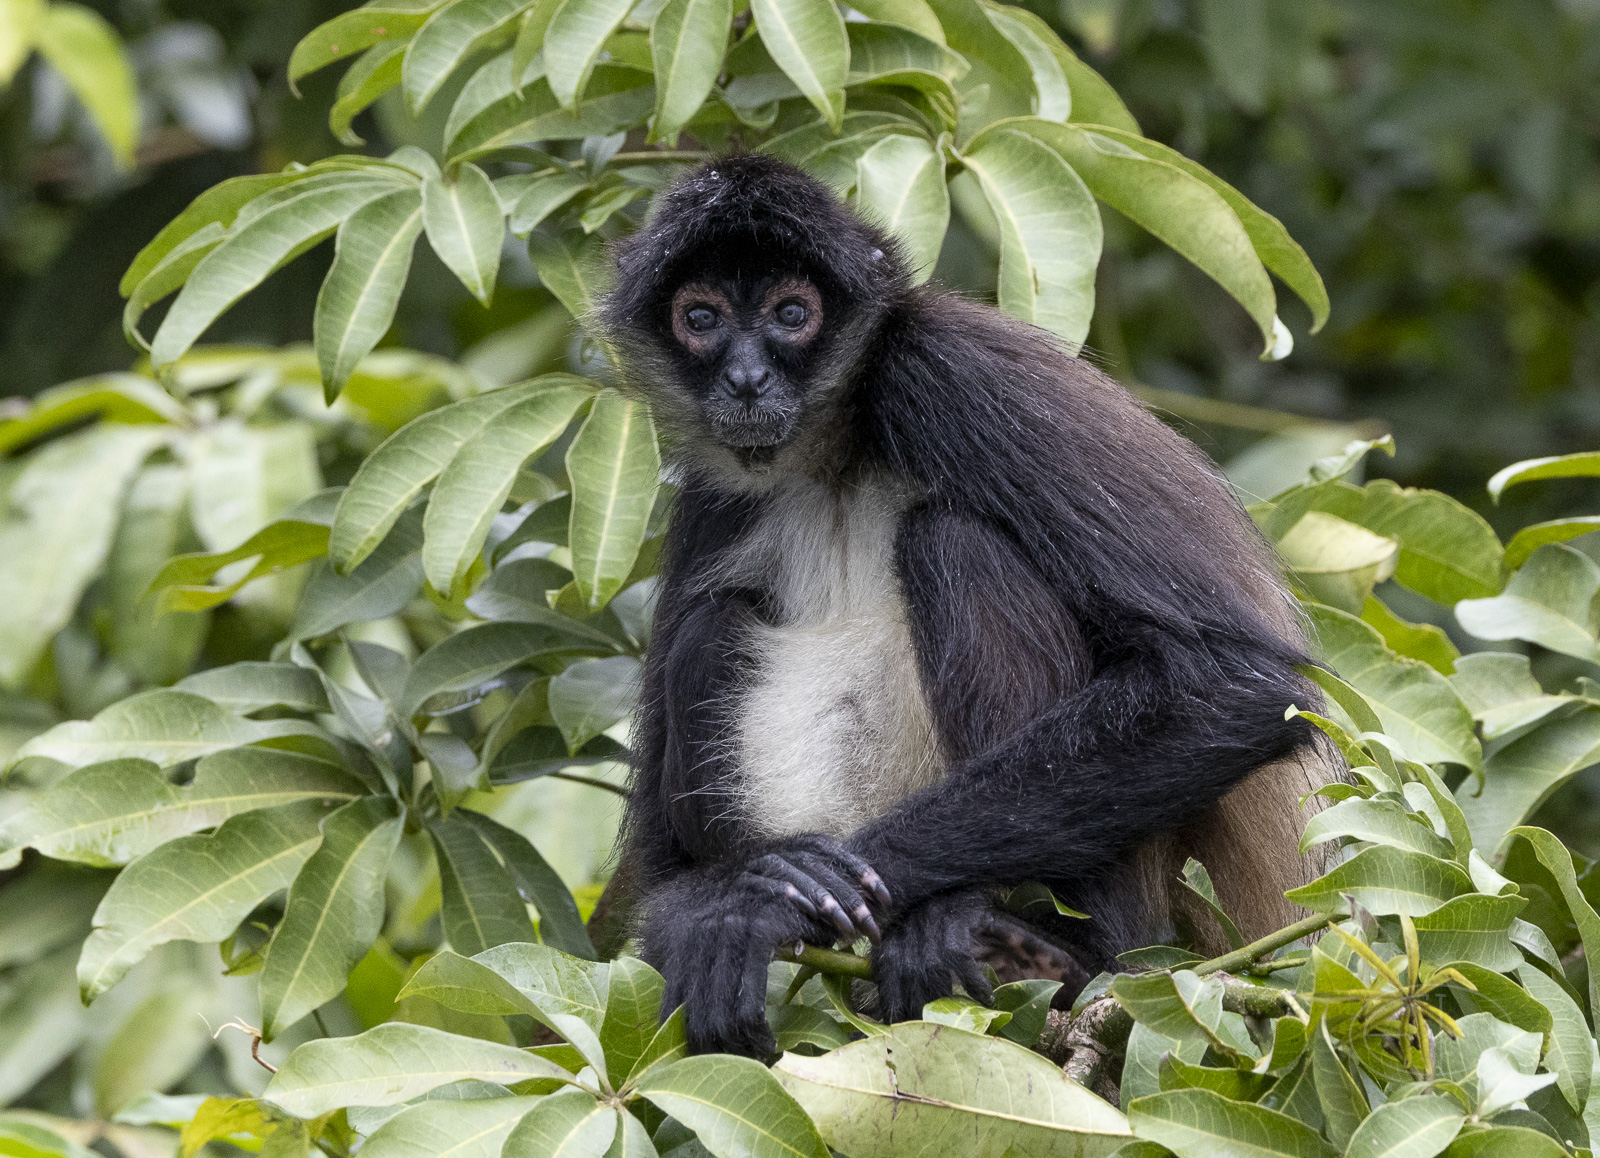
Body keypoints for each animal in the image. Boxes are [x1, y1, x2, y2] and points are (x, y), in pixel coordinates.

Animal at [596, 154, 1337, 1058]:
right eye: (699, 318)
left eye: (792, 314)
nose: (745, 379)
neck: (833, 456)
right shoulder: (712, 490)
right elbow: (663, 867)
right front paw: (731, 902)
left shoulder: (947, 367)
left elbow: (1236, 682)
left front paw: (768, 899)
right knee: (709, 624)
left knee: (952, 540)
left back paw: (1040, 946)